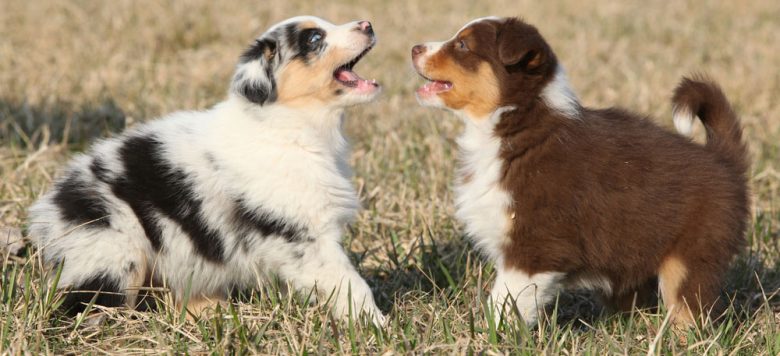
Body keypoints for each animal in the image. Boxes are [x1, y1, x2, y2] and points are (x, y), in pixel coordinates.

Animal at [414, 17, 748, 328]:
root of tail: (722, 159)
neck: (516, 123)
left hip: (690, 258)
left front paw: (492, 336)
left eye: (462, 45)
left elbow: (505, 301)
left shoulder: (534, 247)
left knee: (690, 311)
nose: (415, 47)